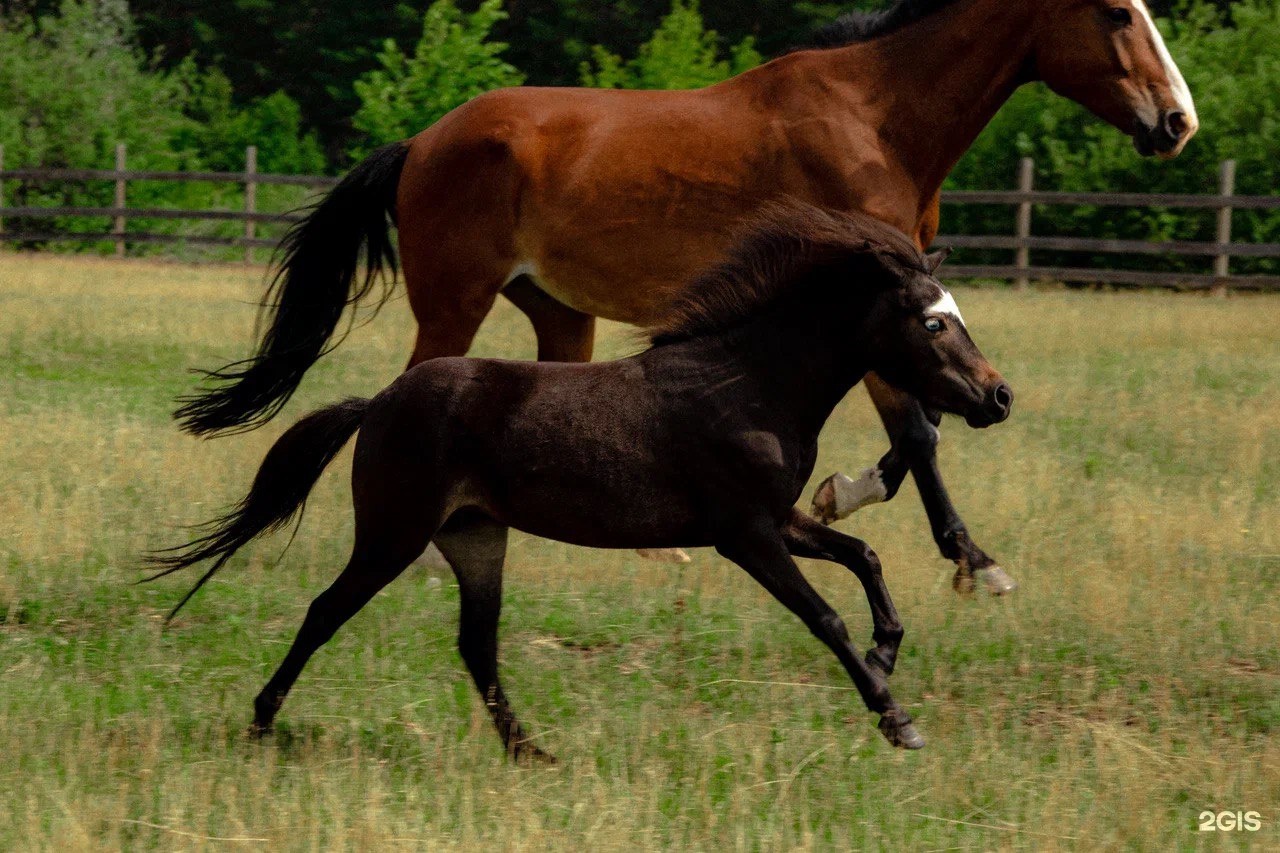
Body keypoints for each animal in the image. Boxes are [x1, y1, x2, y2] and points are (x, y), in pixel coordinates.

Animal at [149, 206, 1008, 753]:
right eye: (933, 321)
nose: (998, 396)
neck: (749, 383)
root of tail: (380, 402)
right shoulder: (745, 534)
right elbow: (825, 615)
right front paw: (895, 717)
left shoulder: (781, 518)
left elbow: (865, 555)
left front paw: (888, 653)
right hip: (394, 533)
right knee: (327, 610)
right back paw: (261, 723)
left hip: (475, 538)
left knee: (477, 644)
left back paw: (530, 750)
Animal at [175, 0, 1192, 594]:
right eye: (1116, 10)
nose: (1177, 121)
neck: (875, 119)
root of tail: (423, 141)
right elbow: (920, 432)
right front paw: (975, 563)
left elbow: (919, 428)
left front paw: (841, 496)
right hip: (455, 301)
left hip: (560, 312)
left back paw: (648, 547)